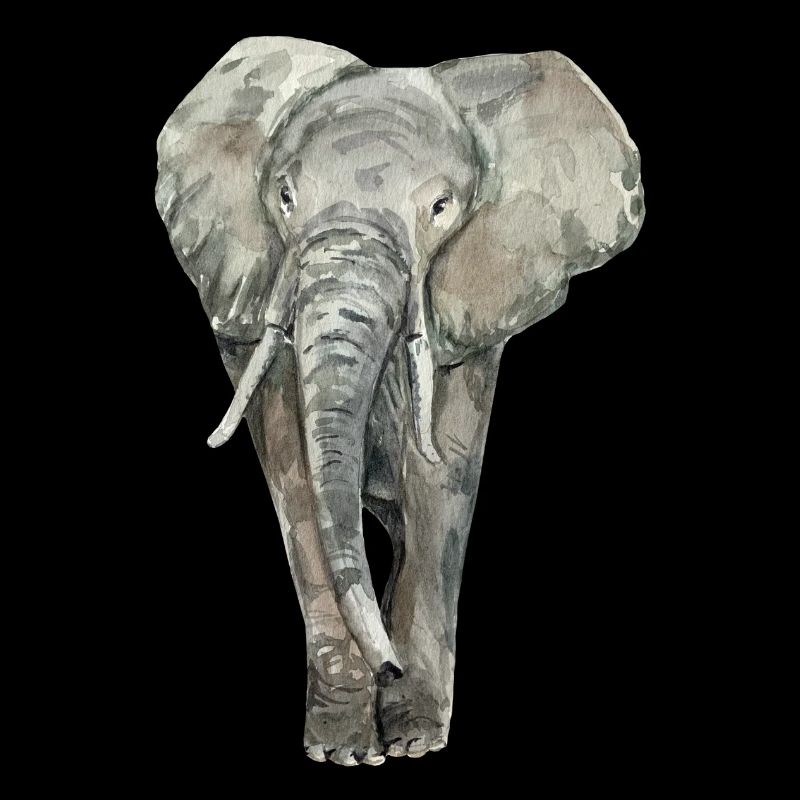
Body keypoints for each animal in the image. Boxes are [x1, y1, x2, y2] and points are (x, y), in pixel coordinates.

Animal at [155, 36, 644, 766]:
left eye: (440, 208)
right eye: (286, 197)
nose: (386, 666)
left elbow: (440, 478)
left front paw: (412, 741)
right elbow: (293, 470)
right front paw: (345, 749)